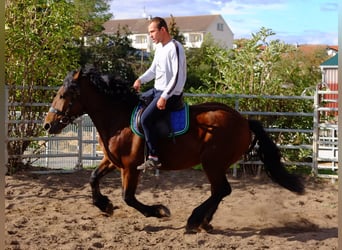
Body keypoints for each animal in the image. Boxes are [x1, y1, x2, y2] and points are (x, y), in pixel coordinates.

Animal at [43, 66, 304, 232]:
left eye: (63, 94)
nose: (47, 124)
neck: (119, 119)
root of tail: (243, 120)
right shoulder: (112, 161)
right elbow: (93, 178)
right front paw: (104, 205)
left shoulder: (130, 167)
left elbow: (128, 197)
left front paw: (158, 211)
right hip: (216, 165)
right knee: (220, 191)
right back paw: (203, 222)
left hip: (212, 163)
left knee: (221, 190)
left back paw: (195, 220)